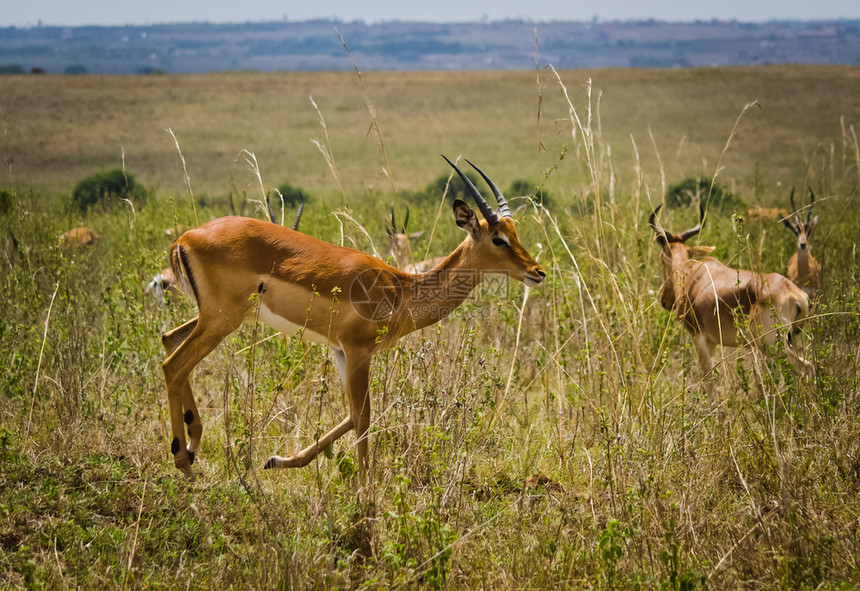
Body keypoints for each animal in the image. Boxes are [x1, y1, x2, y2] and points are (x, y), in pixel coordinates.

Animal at [652, 206, 812, 376]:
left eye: (661, 257)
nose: (664, 301)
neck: (692, 273)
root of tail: (795, 293)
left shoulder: (700, 338)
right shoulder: (713, 342)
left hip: (772, 344)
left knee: (805, 368)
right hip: (792, 338)